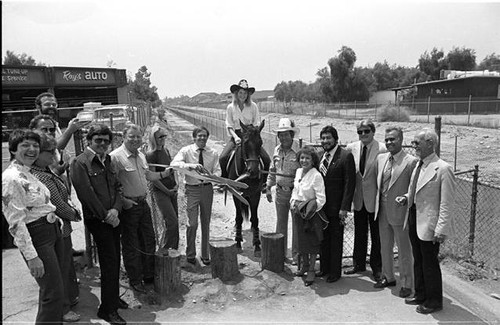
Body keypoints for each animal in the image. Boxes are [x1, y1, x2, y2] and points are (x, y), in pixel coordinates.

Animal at [225, 119, 268, 256]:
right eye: (245, 143)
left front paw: (257, 245)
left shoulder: (255, 194)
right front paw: (238, 243)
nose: (253, 171)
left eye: (261, 142)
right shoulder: (236, 195)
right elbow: (239, 218)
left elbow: (255, 218)